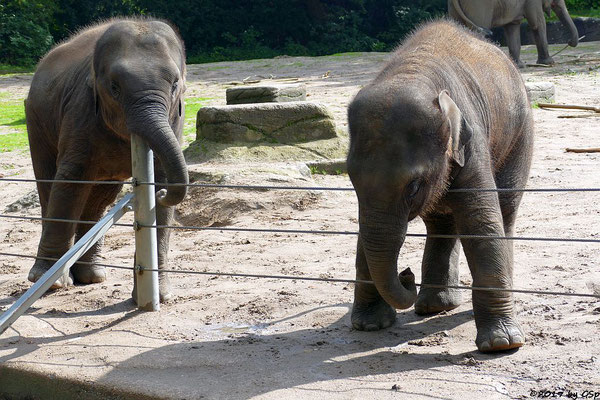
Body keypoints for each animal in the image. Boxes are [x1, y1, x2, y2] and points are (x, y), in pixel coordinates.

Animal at [25, 17, 188, 302]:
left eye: (174, 85)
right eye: (114, 88)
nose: (163, 196)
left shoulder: (176, 118)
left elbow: (162, 178)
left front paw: (160, 295)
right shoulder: (80, 108)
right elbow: (70, 180)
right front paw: (51, 284)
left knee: (100, 198)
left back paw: (91, 276)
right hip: (36, 120)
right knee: (48, 184)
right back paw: (52, 278)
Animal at [346, 20, 536, 352]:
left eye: (412, 187)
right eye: (351, 179)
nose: (406, 273)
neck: (412, 72)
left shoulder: (471, 140)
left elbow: (481, 222)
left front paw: (501, 344)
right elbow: (366, 232)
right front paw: (369, 326)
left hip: (520, 135)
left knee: (505, 211)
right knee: (442, 222)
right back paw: (436, 306)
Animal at [448, 0, 580, 66]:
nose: (569, 42)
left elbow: (513, 28)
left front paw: (518, 65)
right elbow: (538, 23)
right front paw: (548, 62)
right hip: (479, 7)